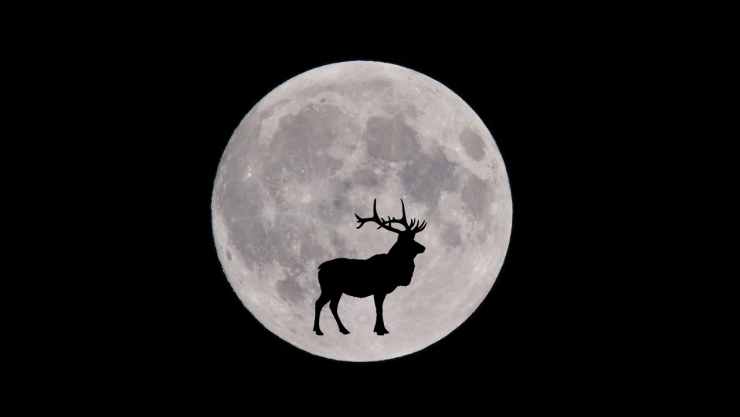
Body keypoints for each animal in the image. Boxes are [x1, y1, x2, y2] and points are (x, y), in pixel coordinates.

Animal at [313, 198, 427, 336]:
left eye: (414, 238)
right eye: (408, 241)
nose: (423, 247)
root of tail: (320, 268)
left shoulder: (381, 291)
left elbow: (379, 308)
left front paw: (380, 329)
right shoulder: (379, 289)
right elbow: (379, 308)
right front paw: (380, 330)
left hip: (336, 290)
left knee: (332, 306)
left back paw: (343, 330)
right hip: (329, 288)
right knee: (319, 303)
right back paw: (319, 330)